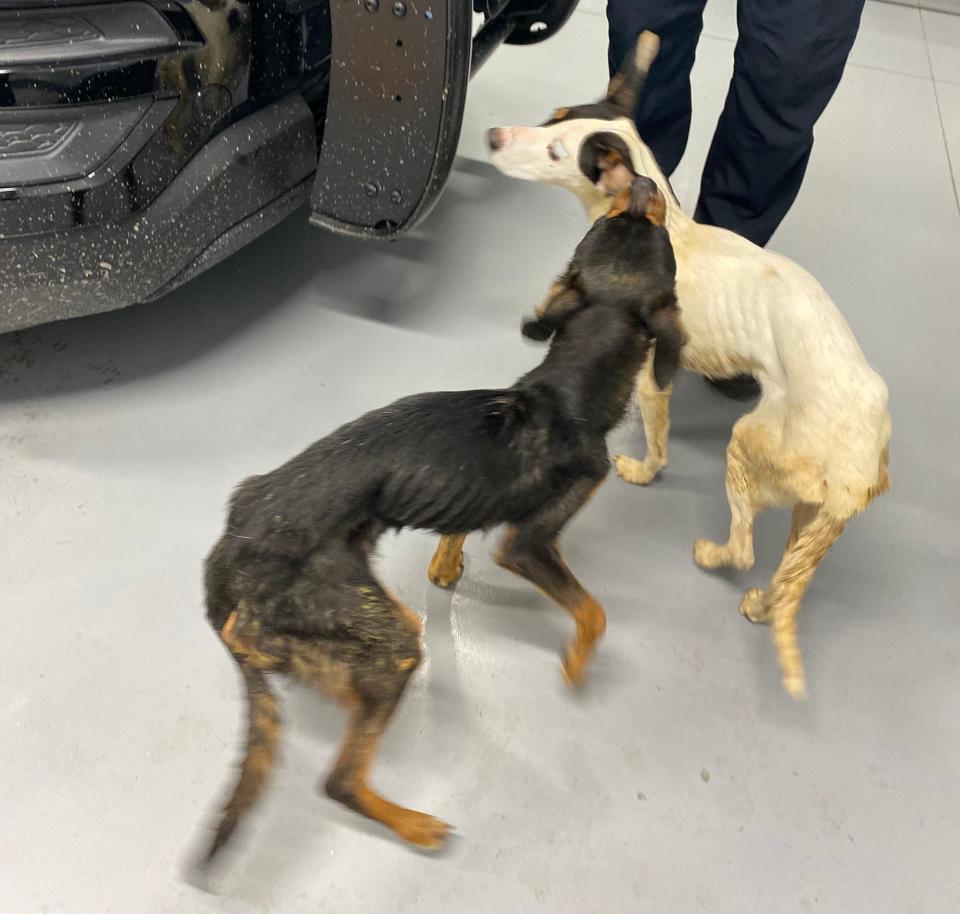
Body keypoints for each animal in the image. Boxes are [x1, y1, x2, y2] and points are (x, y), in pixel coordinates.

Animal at [195, 176, 680, 868]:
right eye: (645, 220)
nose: (641, 181)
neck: (564, 391)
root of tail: (229, 550)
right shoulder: (530, 544)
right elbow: (594, 612)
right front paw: (577, 666)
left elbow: (458, 527)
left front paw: (447, 565)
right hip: (380, 636)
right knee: (339, 779)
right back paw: (413, 823)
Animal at [488, 32, 892, 696]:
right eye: (552, 116)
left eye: (554, 150)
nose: (493, 136)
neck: (656, 219)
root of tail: (860, 469)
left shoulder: (653, 382)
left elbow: (657, 445)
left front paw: (643, 470)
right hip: (808, 516)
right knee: (784, 582)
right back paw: (761, 605)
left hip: (748, 445)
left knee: (746, 549)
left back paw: (713, 556)